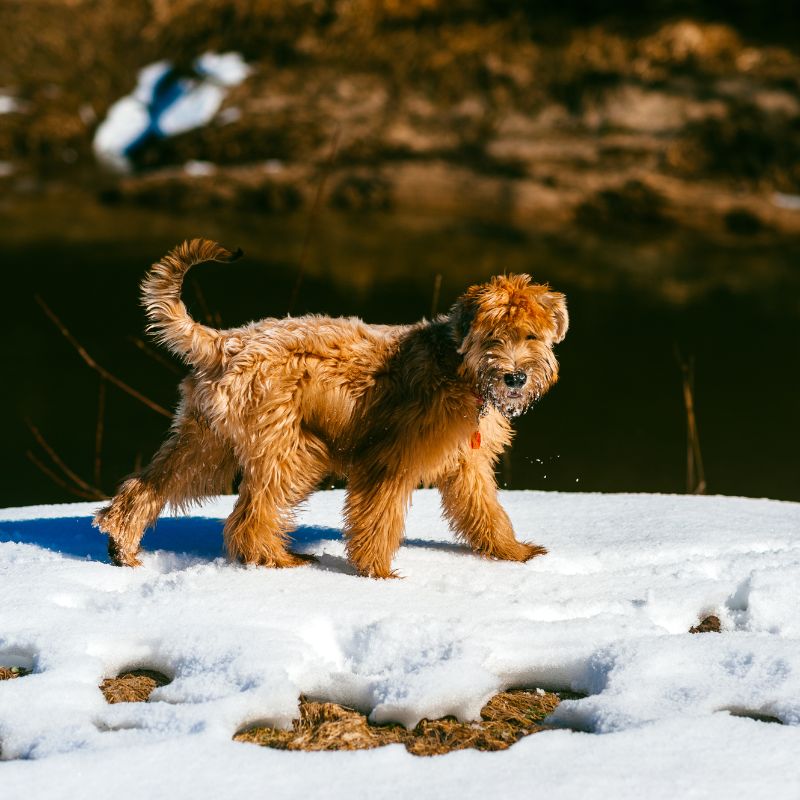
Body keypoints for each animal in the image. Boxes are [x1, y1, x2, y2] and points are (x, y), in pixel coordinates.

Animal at [95, 241, 568, 580]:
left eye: (530, 336)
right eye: (493, 336)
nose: (514, 378)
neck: (457, 365)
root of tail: (224, 341)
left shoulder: (467, 464)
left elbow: (487, 512)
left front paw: (513, 552)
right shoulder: (389, 459)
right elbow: (378, 518)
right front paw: (378, 573)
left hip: (206, 444)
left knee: (146, 487)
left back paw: (123, 546)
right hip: (290, 451)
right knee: (251, 517)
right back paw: (278, 560)